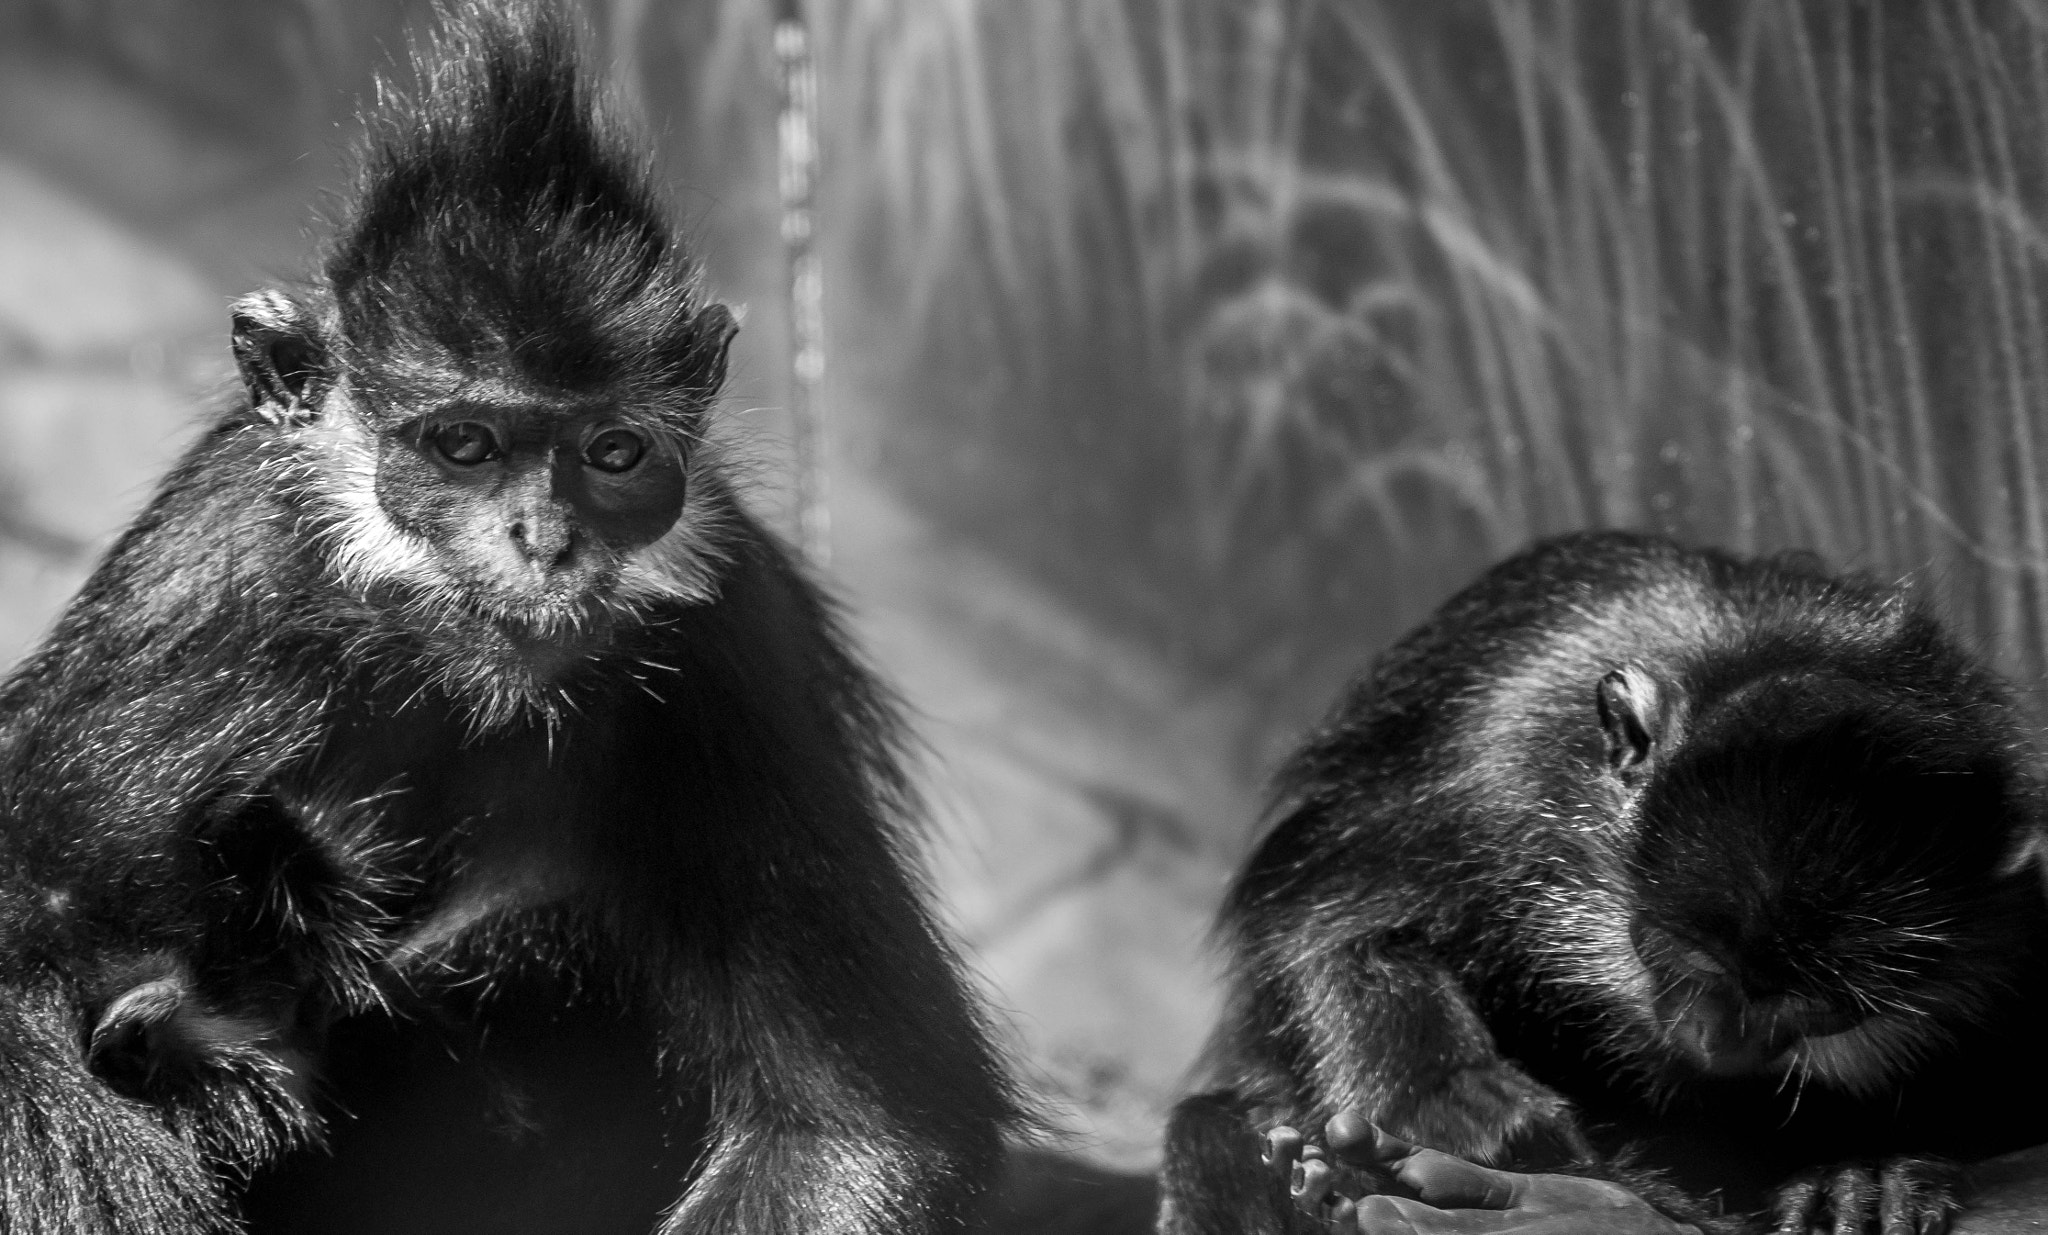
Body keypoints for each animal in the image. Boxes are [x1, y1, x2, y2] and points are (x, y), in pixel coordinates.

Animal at [0, 4, 1024, 1228]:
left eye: (613, 453)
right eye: (465, 445)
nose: (544, 539)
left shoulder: (730, 638)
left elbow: (850, 1129)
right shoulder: (206, 578)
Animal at [1163, 536, 2048, 1235]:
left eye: (1815, 1010)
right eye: (1675, 957)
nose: (1718, 1043)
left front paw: (1866, 1174)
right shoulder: (1492, 756)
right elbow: (1323, 912)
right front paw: (1454, 1100)